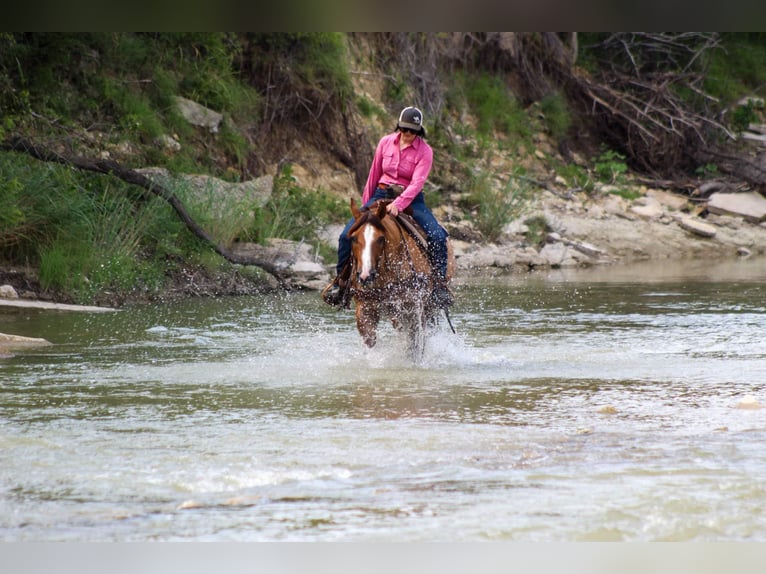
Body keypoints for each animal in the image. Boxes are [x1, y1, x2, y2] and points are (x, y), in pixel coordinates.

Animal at [345, 198, 455, 360]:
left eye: (381, 238)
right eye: (353, 238)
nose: (365, 276)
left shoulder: (413, 310)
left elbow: (414, 346)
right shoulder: (365, 310)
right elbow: (370, 343)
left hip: (429, 306)